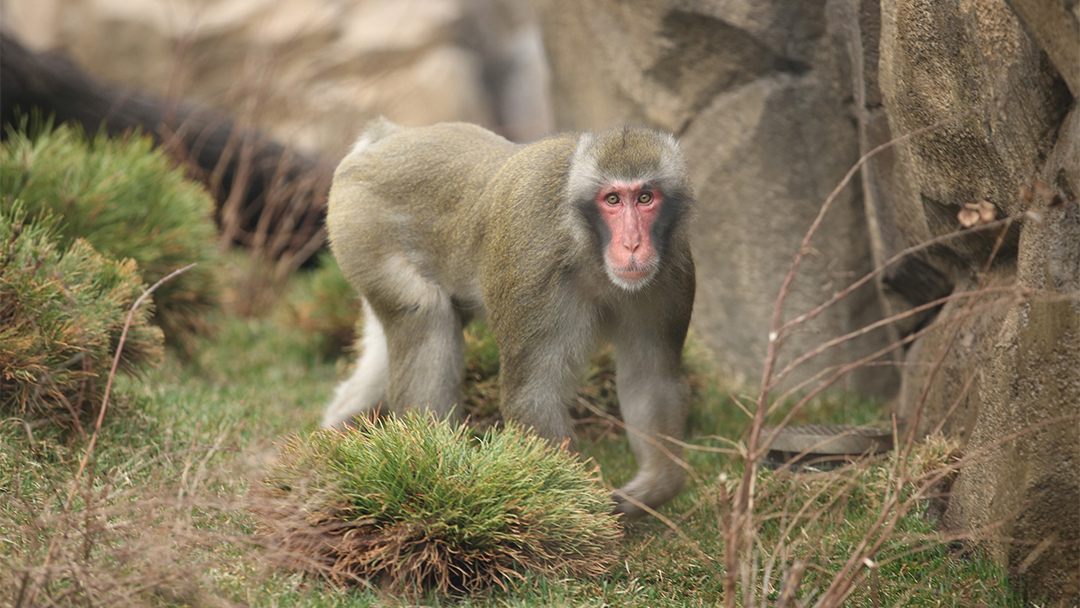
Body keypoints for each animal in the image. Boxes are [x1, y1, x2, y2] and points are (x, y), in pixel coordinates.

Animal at [321, 119, 695, 518]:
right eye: (612, 199)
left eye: (645, 197)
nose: (632, 245)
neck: (585, 244)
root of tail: (387, 137)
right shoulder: (534, 271)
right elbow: (533, 396)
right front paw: (580, 509)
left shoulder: (672, 276)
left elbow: (650, 380)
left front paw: (652, 487)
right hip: (362, 225)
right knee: (424, 314)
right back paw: (429, 464)